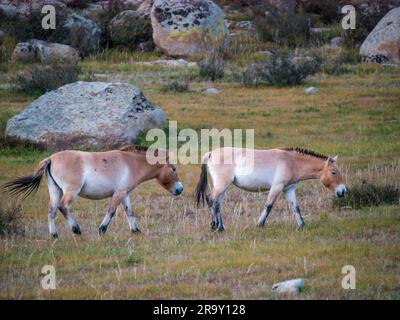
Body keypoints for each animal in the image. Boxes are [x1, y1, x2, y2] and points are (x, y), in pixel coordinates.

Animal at [3, 146, 184, 239]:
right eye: (173, 169)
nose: (180, 189)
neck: (131, 162)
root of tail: (51, 159)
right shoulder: (118, 193)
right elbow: (111, 211)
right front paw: (101, 230)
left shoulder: (124, 193)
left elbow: (129, 212)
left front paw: (136, 230)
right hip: (71, 191)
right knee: (63, 207)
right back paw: (76, 230)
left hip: (55, 191)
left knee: (51, 211)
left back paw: (54, 235)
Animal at [195, 146, 346, 231]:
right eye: (333, 172)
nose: (343, 191)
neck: (291, 162)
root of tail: (210, 153)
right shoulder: (277, 187)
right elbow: (268, 206)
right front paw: (260, 224)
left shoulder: (289, 190)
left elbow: (296, 208)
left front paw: (302, 225)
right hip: (221, 185)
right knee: (211, 200)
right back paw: (214, 226)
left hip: (223, 186)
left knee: (217, 203)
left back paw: (220, 227)